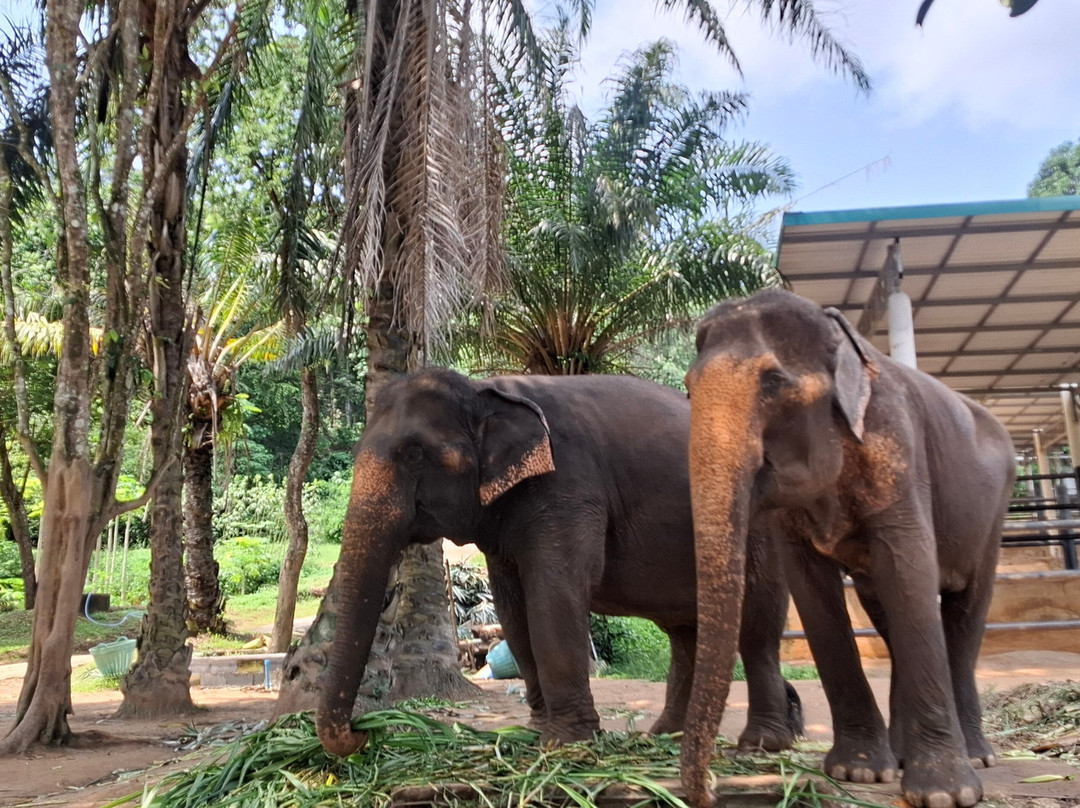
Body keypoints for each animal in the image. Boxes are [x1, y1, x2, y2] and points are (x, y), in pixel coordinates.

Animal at [315, 367, 803, 756]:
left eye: (414, 453)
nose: (363, 731)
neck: (485, 390)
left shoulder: (569, 487)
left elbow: (554, 594)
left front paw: (566, 744)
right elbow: (512, 609)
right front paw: (536, 732)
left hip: (762, 528)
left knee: (757, 626)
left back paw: (761, 744)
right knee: (686, 634)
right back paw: (664, 737)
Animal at [679, 289, 1015, 808]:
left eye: (773, 382)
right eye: (689, 388)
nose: (711, 789)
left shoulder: (897, 451)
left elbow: (909, 571)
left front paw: (944, 794)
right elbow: (814, 593)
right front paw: (859, 771)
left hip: (992, 515)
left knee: (966, 613)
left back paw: (976, 757)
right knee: (887, 612)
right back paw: (902, 755)